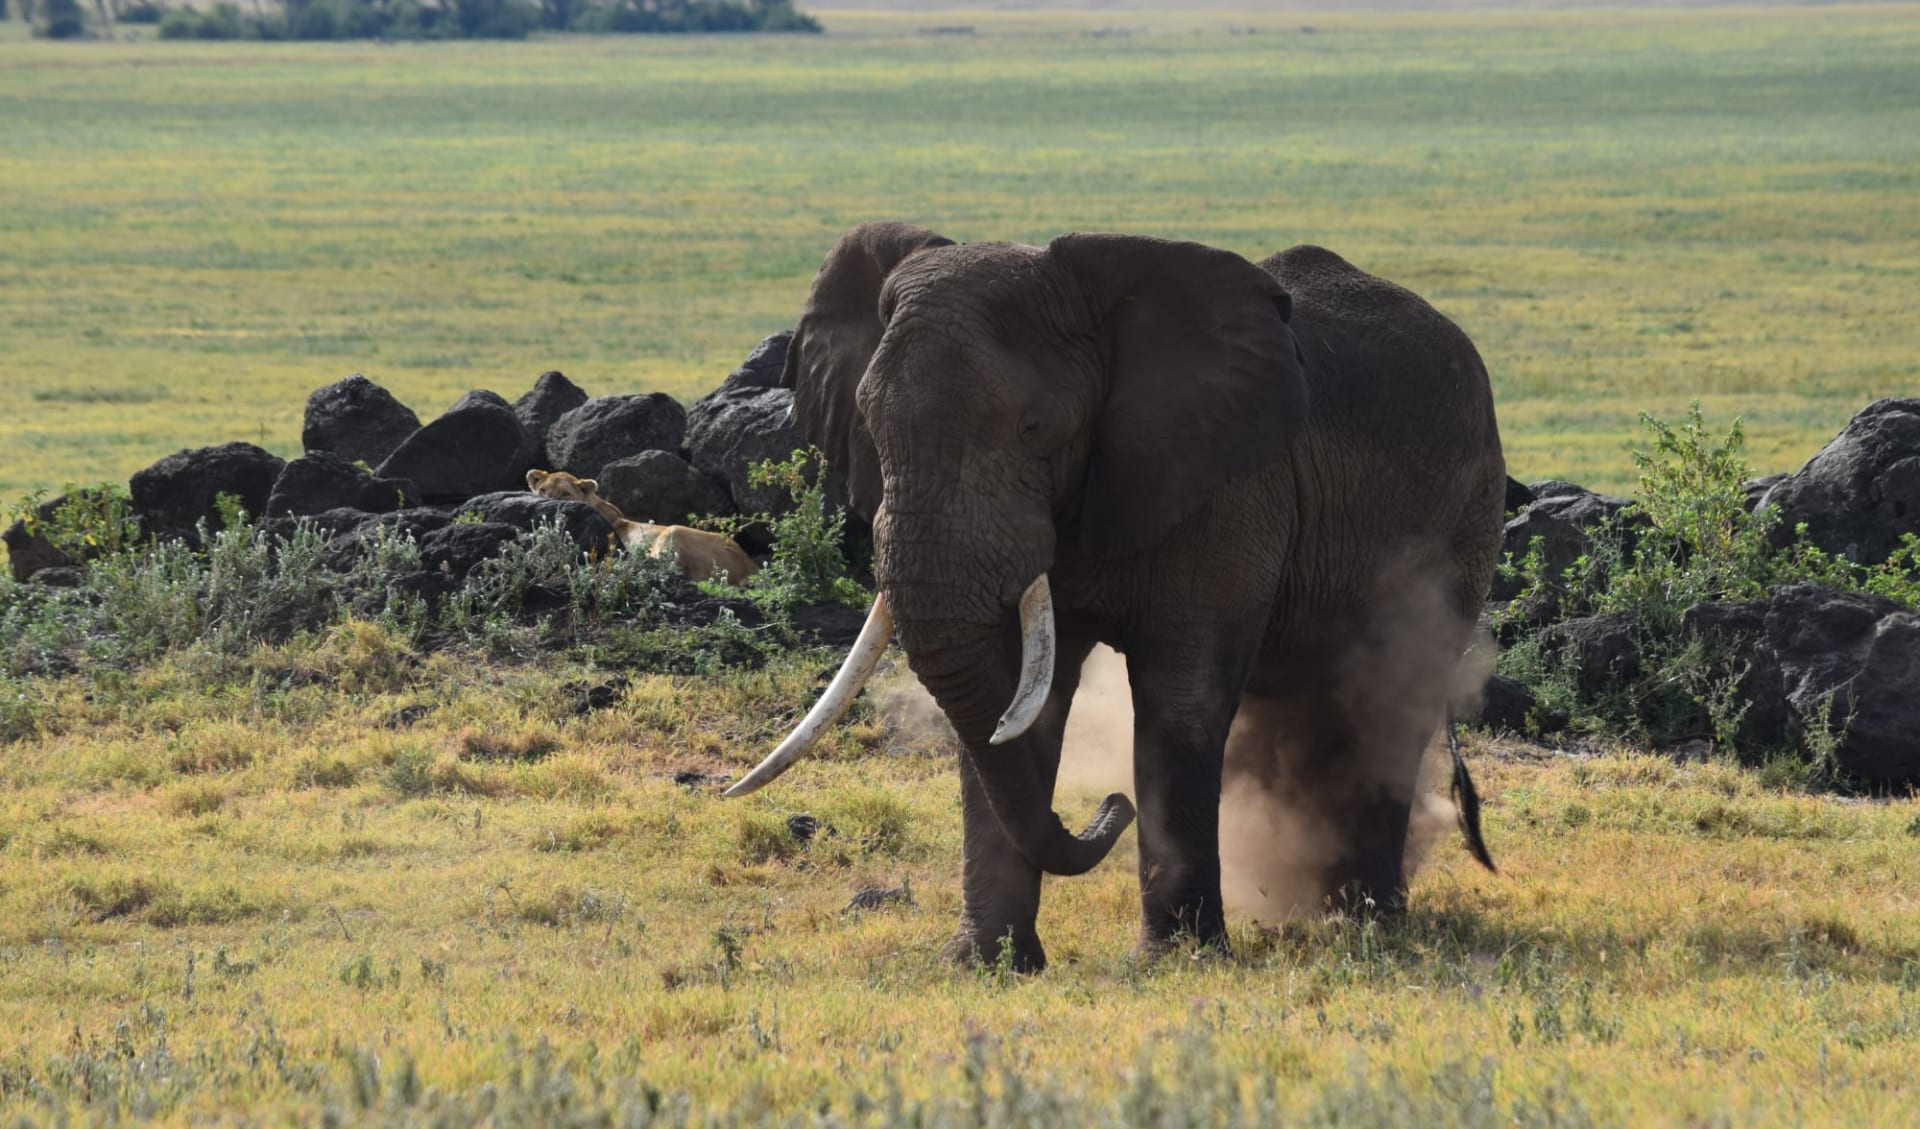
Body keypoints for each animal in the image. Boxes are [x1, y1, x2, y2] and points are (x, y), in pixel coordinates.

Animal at [725, 222, 1505, 971]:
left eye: (1036, 429)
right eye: (870, 422)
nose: (1111, 806)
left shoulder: (1227, 485)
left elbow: (1178, 698)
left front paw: (1175, 960)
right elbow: (1018, 706)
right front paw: (985, 965)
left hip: (1465, 521)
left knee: (1391, 699)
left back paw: (1366, 919)